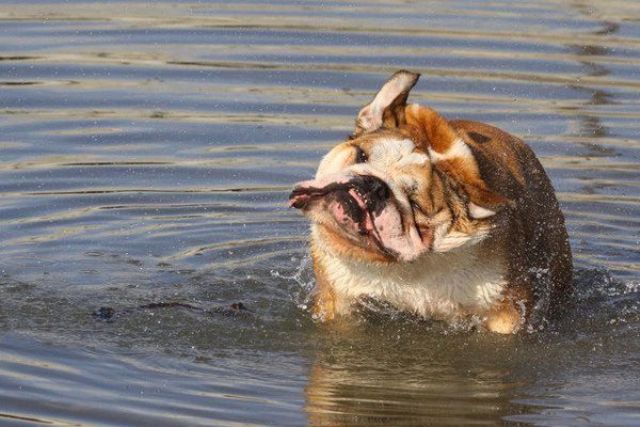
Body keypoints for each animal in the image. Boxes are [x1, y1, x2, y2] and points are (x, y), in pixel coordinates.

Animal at [290, 71, 568, 334]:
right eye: (361, 155)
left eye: (415, 205)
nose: (373, 185)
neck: (404, 267)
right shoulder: (338, 301)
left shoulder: (506, 309)